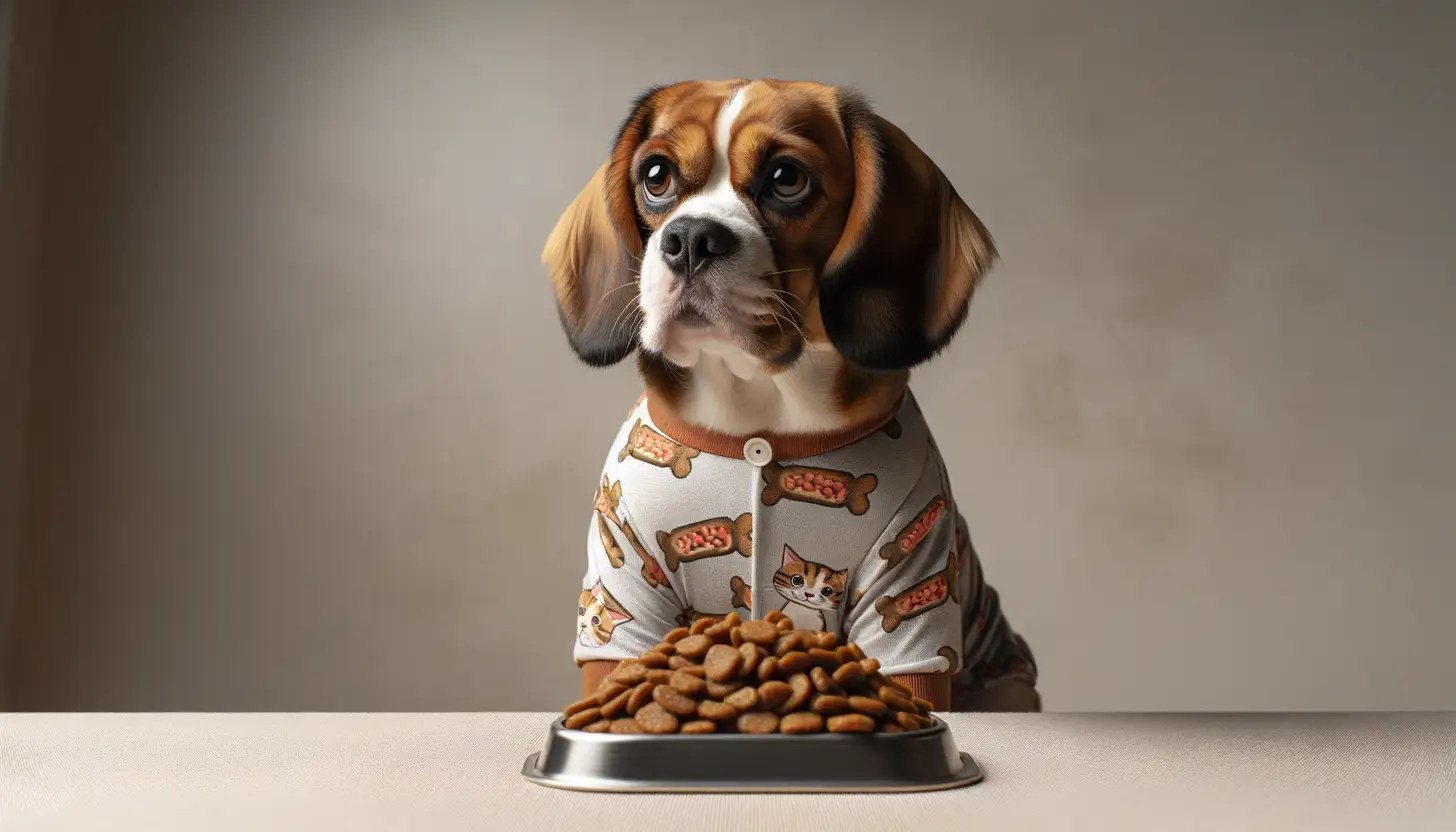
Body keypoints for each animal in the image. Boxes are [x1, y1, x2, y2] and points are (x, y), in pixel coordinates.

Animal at [544, 77, 1036, 713]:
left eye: (786, 177)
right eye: (656, 175)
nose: (690, 237)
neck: (760, 422)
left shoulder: (912, 595)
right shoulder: (623, 585)